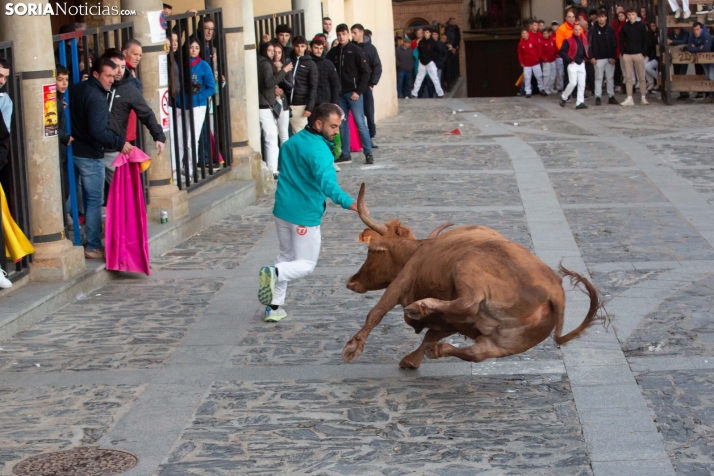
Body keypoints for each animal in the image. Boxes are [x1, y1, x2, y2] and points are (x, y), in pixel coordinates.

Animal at [340, 183, 600, 368]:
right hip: (504, 343)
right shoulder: (450, 323)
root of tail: (555, 289)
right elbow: (432, 334)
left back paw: (420, 308)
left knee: (468, 303)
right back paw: (438, 349)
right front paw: (413, 359)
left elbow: (376, 313)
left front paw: (353, 347)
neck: (419, 250)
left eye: (371, 252)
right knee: (477, 353)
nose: (351, 281)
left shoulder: (401, 283)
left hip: (467, 269)